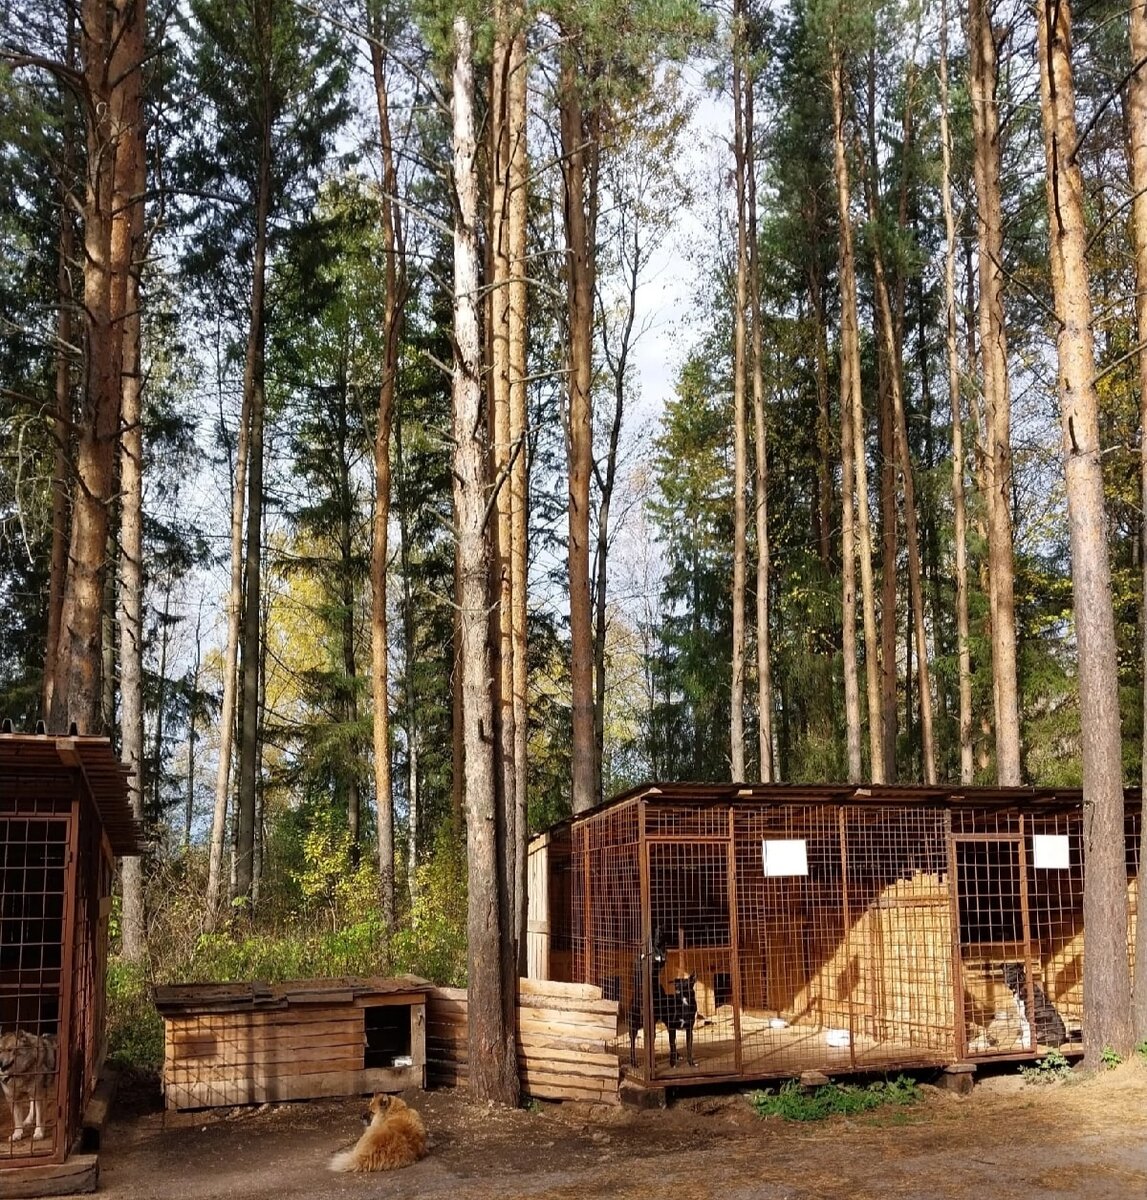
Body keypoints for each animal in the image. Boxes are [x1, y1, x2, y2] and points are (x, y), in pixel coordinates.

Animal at [628, 926, 700, 1070]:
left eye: (686, 984)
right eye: (677, 984)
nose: (659, 930)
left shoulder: (688, 1029)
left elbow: (688, 1047)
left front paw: (690, 1063)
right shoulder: (672, 1027)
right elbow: (672, 1045)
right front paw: (672, 1064)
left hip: (652, 1028)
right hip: (634, 1025)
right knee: (632, 1044)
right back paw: (634, 1062)